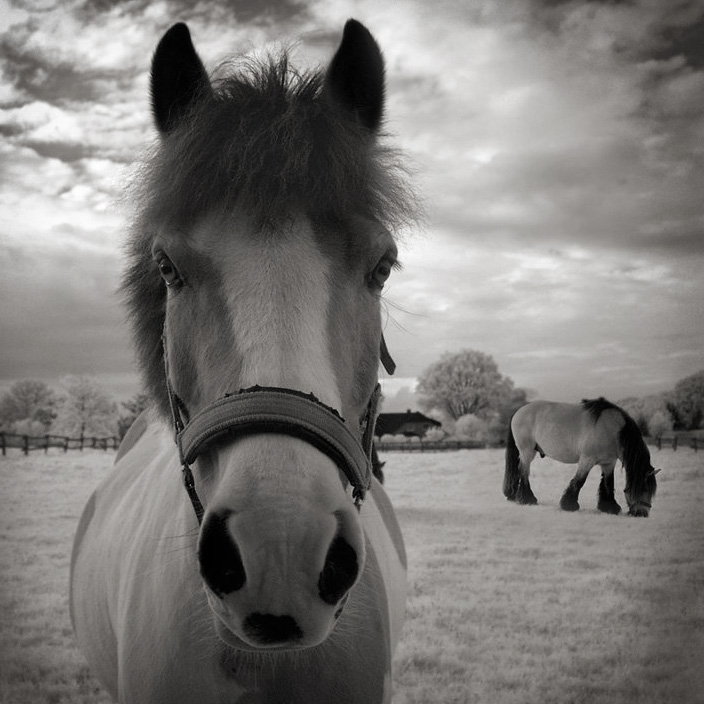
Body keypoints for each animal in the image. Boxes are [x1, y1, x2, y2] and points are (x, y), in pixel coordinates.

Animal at [504, 396, 656, 516]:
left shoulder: (608, 463)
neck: (613, 430)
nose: (642, 513)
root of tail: (518, 411)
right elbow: (579, 481)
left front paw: (609, 507)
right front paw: (569, 505)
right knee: (524, 472)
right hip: (527, 451)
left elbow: (608, 483)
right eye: (644, 488)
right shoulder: (587, 460)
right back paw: (527, 499)